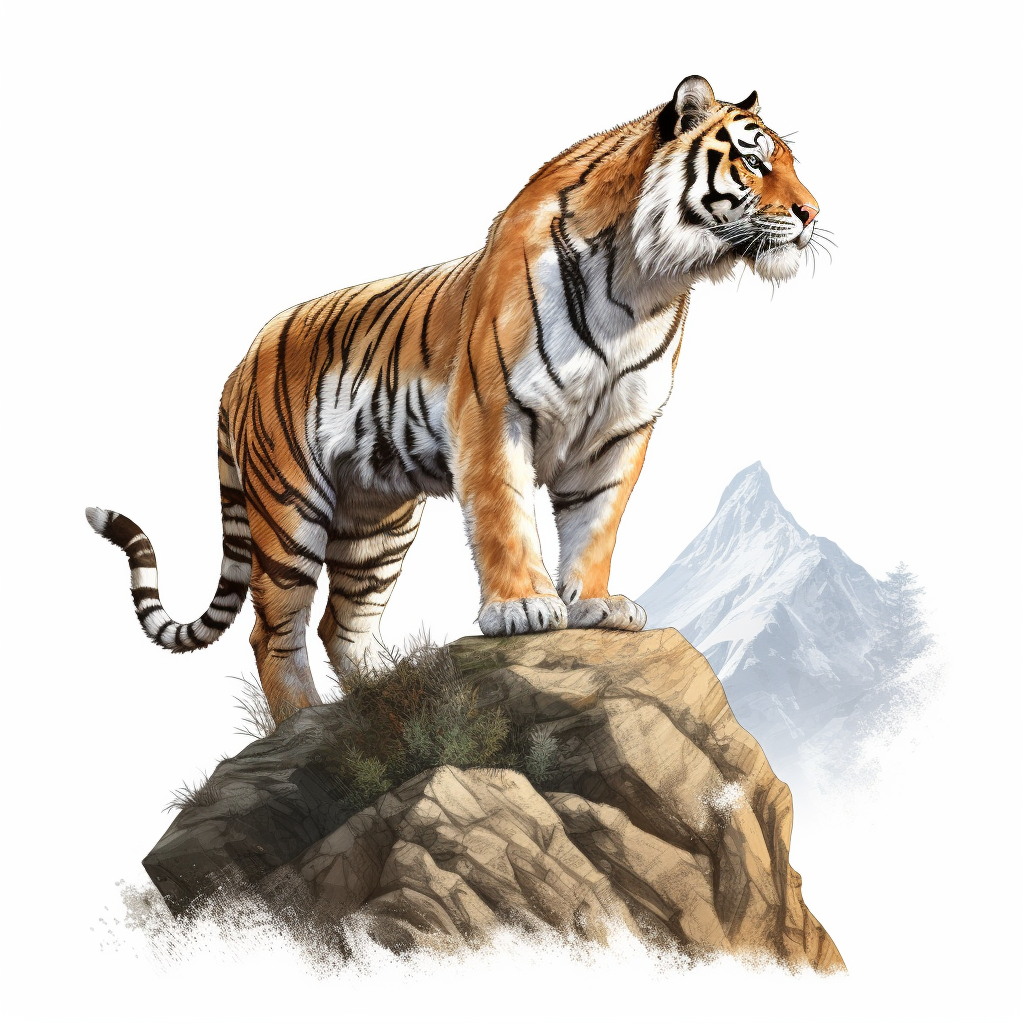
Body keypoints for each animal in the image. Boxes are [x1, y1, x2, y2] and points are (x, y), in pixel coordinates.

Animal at [87, 75, 821, 724]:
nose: (813, 213)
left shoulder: (620, 433)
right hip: (289, 509)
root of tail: (242, 359)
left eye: (790, 162)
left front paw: (596, 604)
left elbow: (596, 526)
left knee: (340, 627)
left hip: (375, 527)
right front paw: (523, 609)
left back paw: (386, 697)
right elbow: (505, 516)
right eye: (753, 159)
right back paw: (303, 722)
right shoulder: (496, 413)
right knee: (275, 633)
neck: (645, 285)